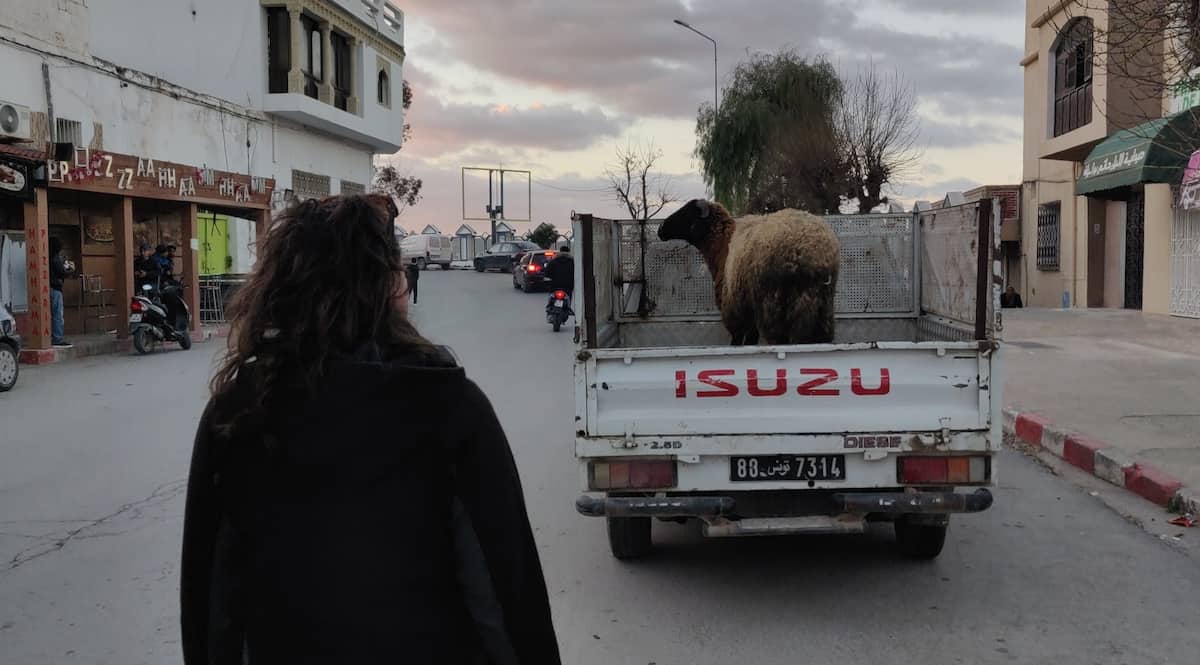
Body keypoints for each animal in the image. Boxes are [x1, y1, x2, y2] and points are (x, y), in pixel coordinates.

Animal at [652, 198, 840, 343]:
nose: (660, 229)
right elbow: (750, 341)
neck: (723, 248)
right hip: (821, 302)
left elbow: (738, 342)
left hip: (773, 304)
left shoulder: (734, 313)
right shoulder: (749, 317)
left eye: (687, 213)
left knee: (780, 338)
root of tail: (811, 250)